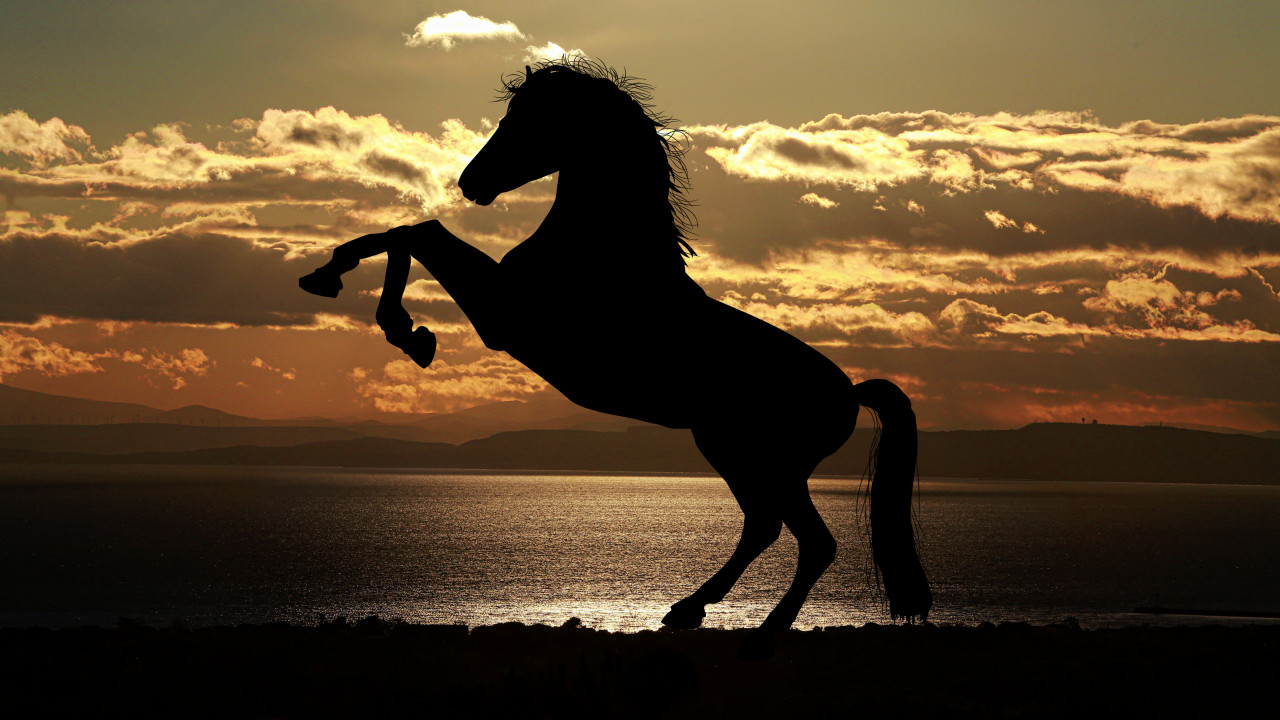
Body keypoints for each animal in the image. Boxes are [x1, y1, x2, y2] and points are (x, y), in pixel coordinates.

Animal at [299, 58, 930, 658]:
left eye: (530, 119)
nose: (471, 181)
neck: (602, 251)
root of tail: (849, 392)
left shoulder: (503, 316)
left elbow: (418, 232)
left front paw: (401, 327)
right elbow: (407, 231)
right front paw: (337, 281)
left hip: (765, 460)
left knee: (811, 542)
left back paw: (758, 637)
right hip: (731, 450)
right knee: (763, 527)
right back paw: (687, 610)